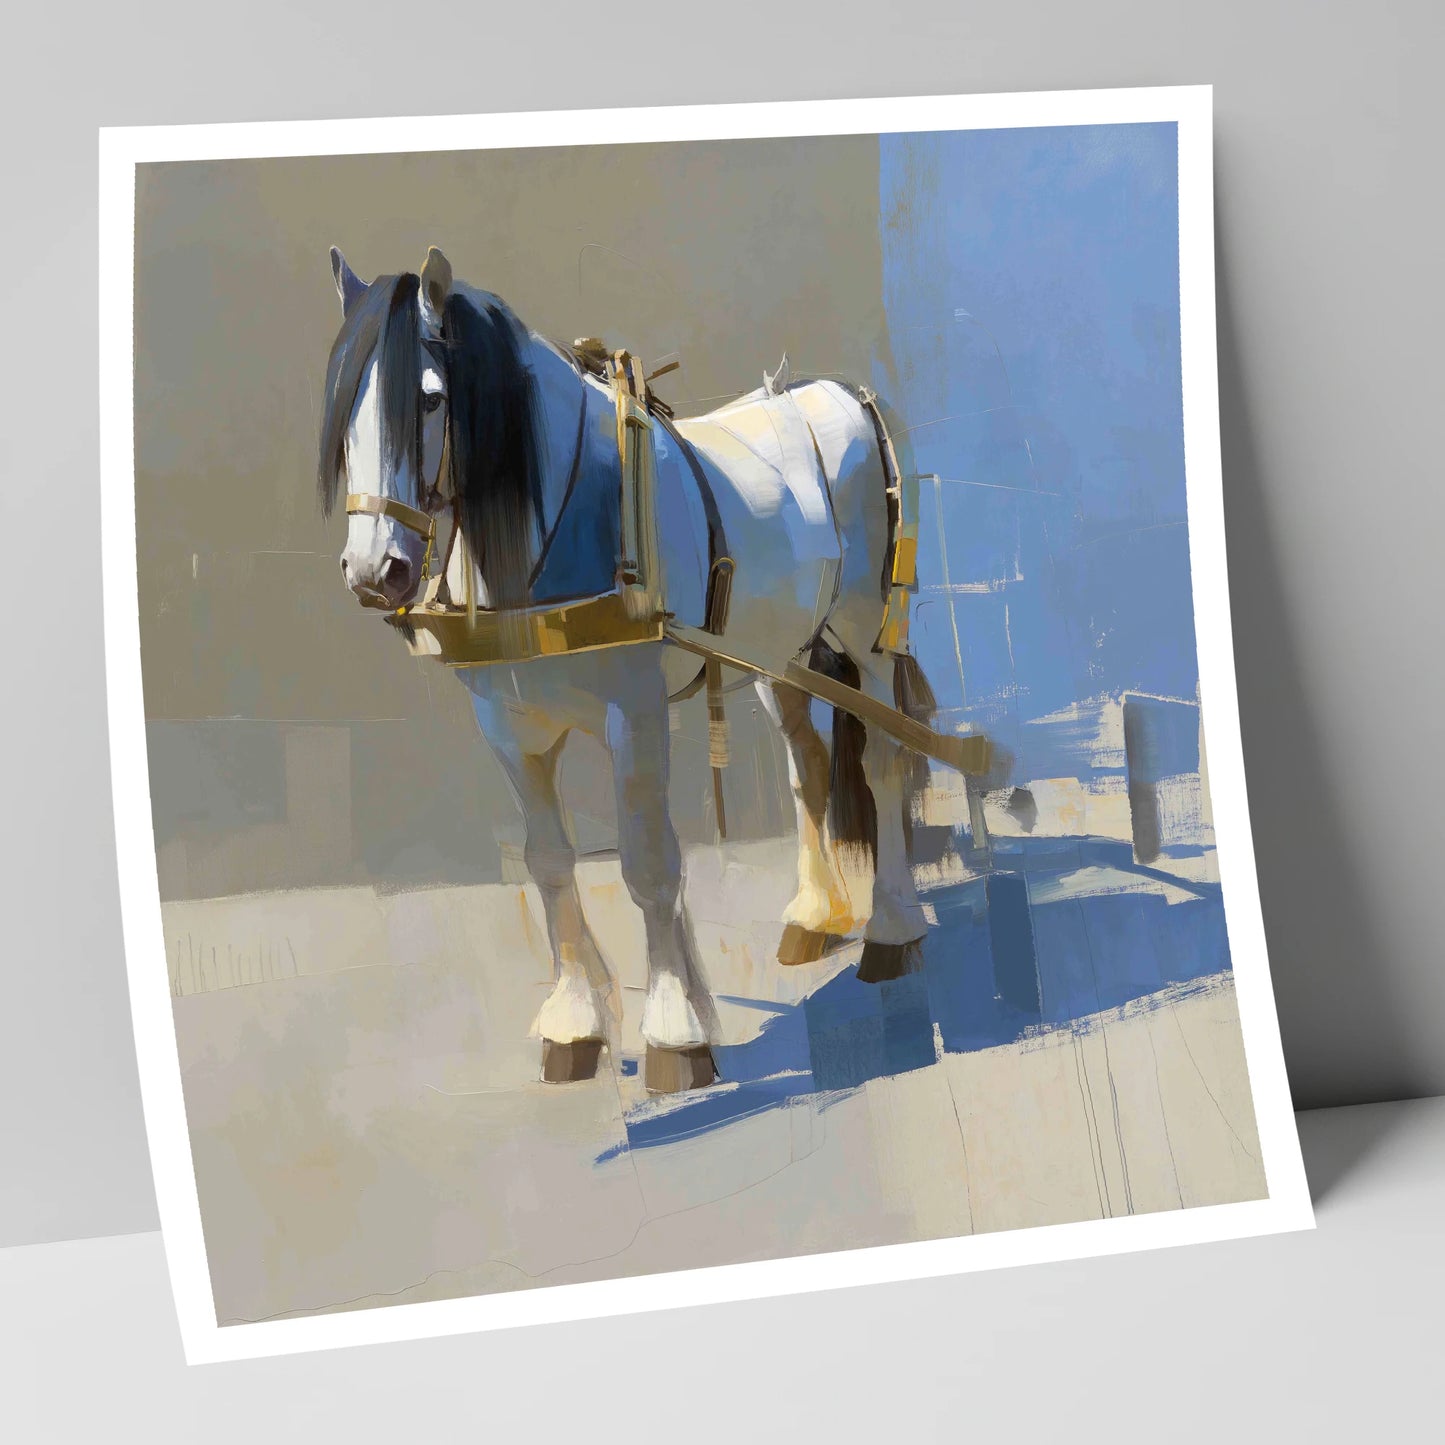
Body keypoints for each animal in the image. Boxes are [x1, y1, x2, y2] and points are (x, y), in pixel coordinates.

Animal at [319, 245, 943, 1095]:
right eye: (345, 411)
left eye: (430, 399)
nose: (371, 570)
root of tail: (841, 394)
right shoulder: (509, 732)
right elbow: (550, 864)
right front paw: (573, 1025)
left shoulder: (635, 716)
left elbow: (648, 863)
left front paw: (676, 1033)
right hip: (781, 657)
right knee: (809, 768)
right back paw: (813, 919)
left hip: (867, 640)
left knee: (881, 759)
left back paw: (890, 931)